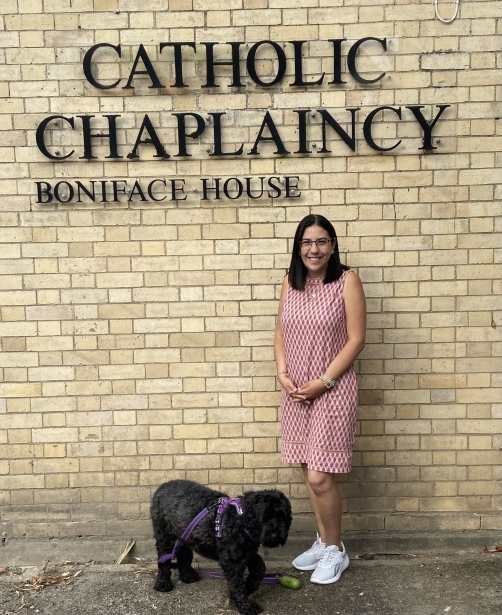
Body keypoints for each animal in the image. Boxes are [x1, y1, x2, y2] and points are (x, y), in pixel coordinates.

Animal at [150, 482, 290, 615]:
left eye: (283, 517)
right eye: (264, 516)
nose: (276, 536)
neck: (240, 520)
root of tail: (162, 487)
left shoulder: (247, 553)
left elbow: (260, 568)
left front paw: (248, 587)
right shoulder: (232, 561)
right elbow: (237, 585)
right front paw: (244, 605)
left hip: (184, 535)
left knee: (183, 553)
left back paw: (187, 576)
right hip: (164, 535)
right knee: (164, 560)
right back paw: (163, 584)